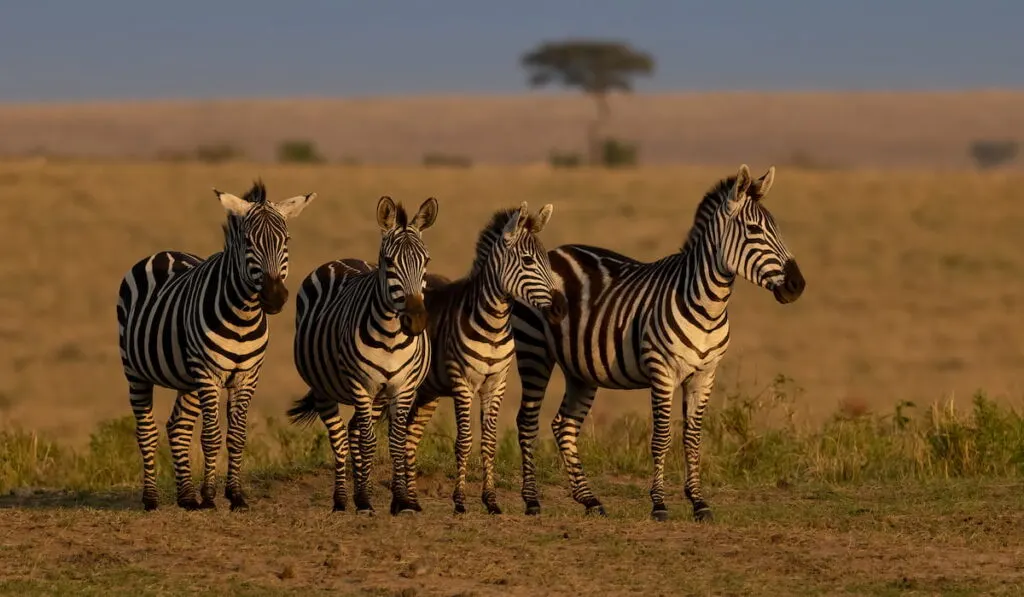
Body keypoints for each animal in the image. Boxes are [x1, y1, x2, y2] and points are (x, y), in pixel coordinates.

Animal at [117, 180, 315, 512]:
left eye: (286, 240)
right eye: (248, 241)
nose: (275, 297)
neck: (243, 316)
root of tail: (164, 253)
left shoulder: (247, 376)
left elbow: (236, 436)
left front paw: (235, 495)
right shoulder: (209, 374)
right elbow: (211, 437)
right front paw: (210, 496)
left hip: (187, 378)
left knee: (178, 427)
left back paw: (186, 497)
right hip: (136, 371)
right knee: (147, 431)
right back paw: (151, 498)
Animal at [286, 194, 438, 514]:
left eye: (426, 261)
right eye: (390, 262)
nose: (416, 321)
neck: (391, 335)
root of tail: (340, 260)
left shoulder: (402, 388)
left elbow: (396, 440)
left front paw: (401, 500)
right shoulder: (361, 386)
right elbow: (368, 441)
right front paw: (367, 501)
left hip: (377, 397)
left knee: (354, 430)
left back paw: (358, 492)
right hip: (325, 388)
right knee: (340, 437)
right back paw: (342, 499)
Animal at [395, 202, 569, 516]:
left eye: (548, 262)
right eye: (527, 261)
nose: (561, 309)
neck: (494, 324)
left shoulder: (495, 384)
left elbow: (489, 441)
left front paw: (491, 501)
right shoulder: (462, 383)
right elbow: (464, 441)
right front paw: (460, 501)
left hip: (427, 391)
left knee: (410, 435)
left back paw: (411, 500)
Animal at [512, 165, 806, 520]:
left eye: (776, 227)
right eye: (753, 230)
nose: (797, 285)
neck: (708, 305)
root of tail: (553, 252)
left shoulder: (705, 375)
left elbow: (693, 438)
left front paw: (699, 502)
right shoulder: (662, 372)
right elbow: (662, 437)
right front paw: (659, 503)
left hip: (580, 369)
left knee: (564, 425)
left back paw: (589, 499)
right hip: (534, 350)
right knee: (527, 421)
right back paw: (531, 501)